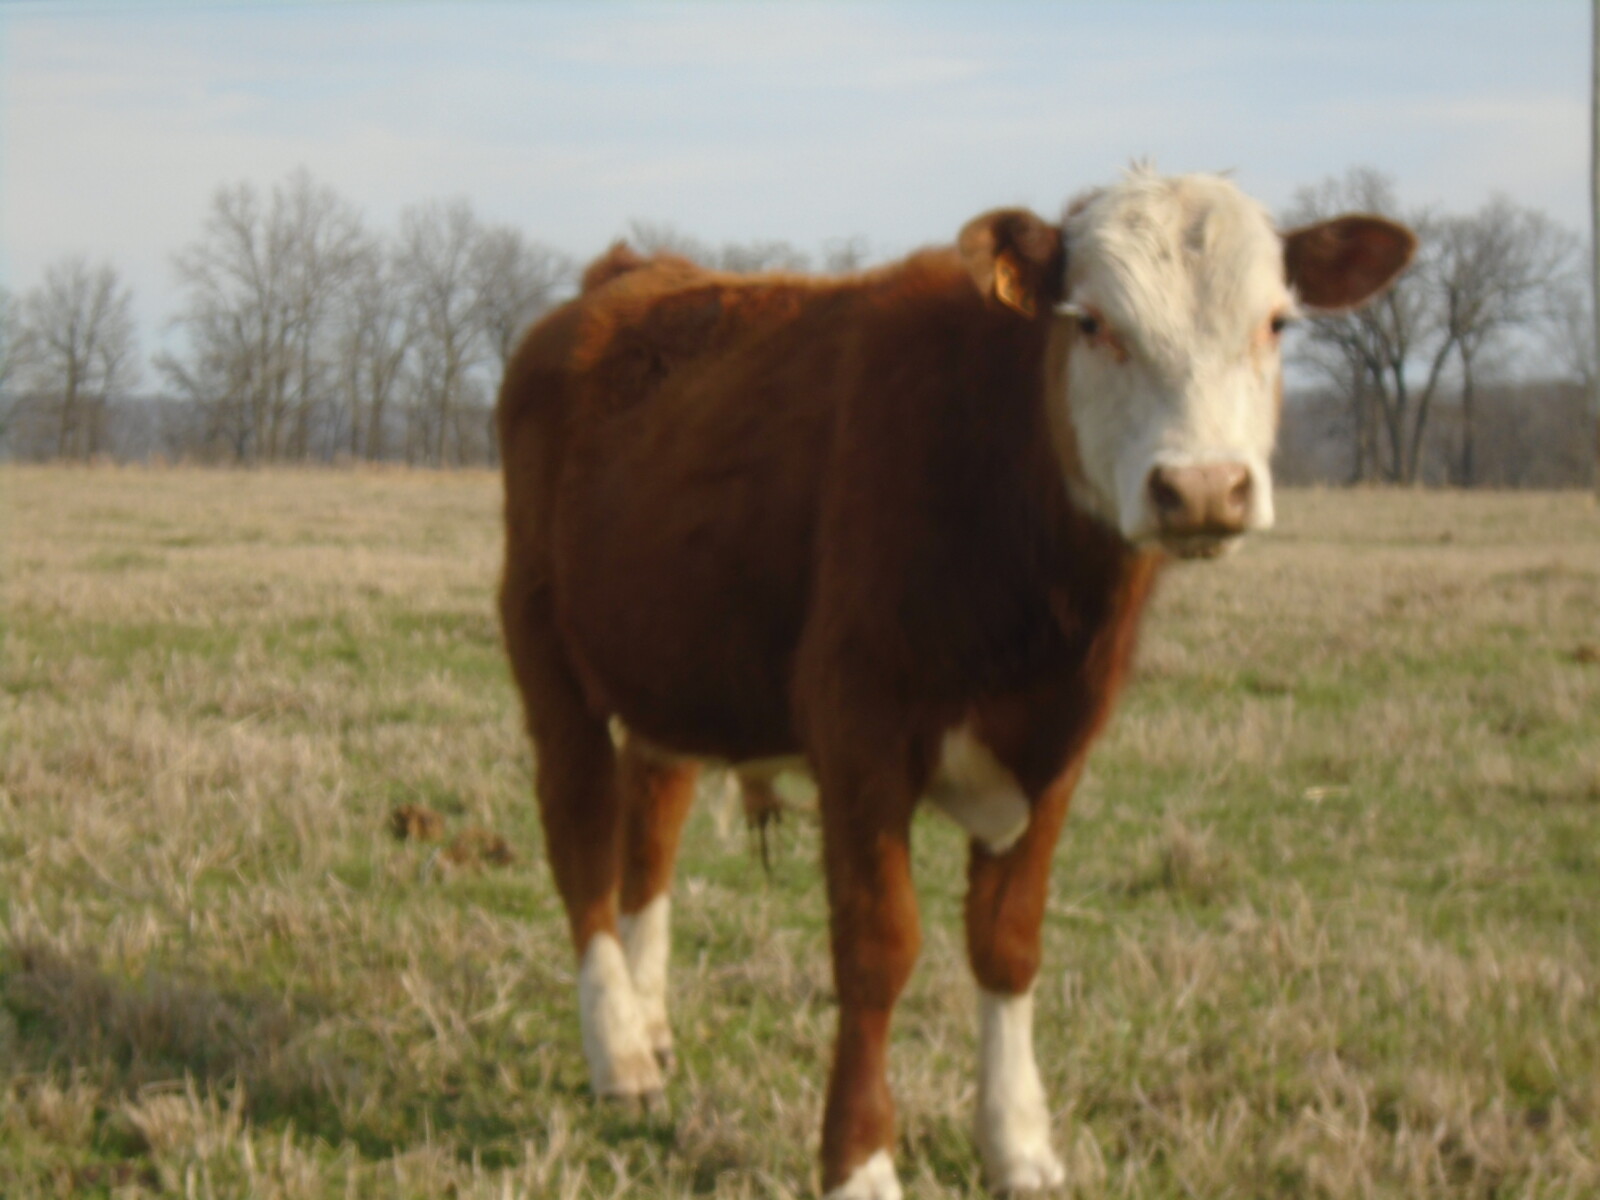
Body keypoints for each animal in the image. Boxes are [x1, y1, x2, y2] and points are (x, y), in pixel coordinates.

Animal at [495, 167, 1414, 1198]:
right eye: (1091, 322)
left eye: (1276, 323)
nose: (1206, 488)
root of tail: (626, 274)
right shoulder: (859, 727)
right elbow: (877, 950)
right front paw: (859, 1162)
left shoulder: (1057, 745)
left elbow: (1009, 944)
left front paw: (1019, 1144)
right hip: (545, 648)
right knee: (581, 839)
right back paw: (616, 1051)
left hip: (673, 663)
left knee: (650, 827)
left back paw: (648, 1027)